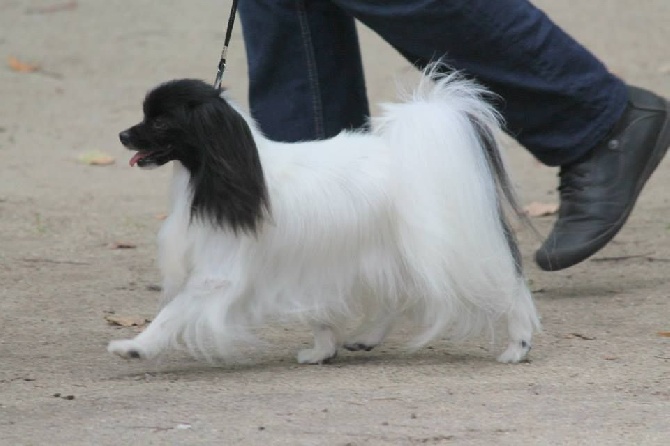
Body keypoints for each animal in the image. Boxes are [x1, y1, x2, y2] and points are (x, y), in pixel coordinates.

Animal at [109, 66, 540, 366]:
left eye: (160, 121)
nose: (122, 136)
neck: (220, 170)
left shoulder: (218, 275)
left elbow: (171, 312)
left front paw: (135, 346)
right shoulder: (304, 269)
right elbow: (318, 315)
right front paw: (323, 350)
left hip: (454, 251)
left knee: (510, 290)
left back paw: (518, 346)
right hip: (398, 251)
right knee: (401, 294)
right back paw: (367, 336)